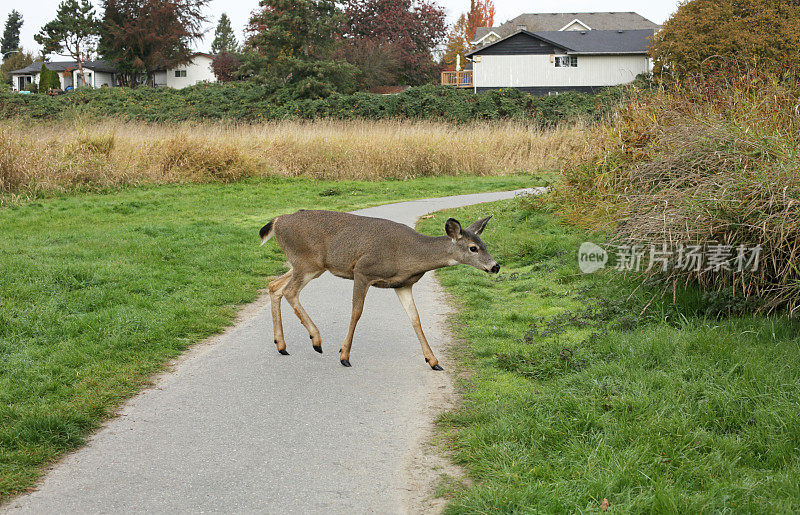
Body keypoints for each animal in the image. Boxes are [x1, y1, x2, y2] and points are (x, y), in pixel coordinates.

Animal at [260, 210, 500, 370]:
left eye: (485, 245)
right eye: (473, 248)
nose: (495, 266)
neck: (409, 255)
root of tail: (278, 221)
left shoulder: (403, 284)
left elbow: (415, 318)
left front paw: (433, 361)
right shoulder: (362, 271)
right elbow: (356, 312)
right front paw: (344, 356)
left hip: (306, 265)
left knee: (275, 286)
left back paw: (281, 345)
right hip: (307, 262)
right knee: (290, 291)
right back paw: (316, 341)